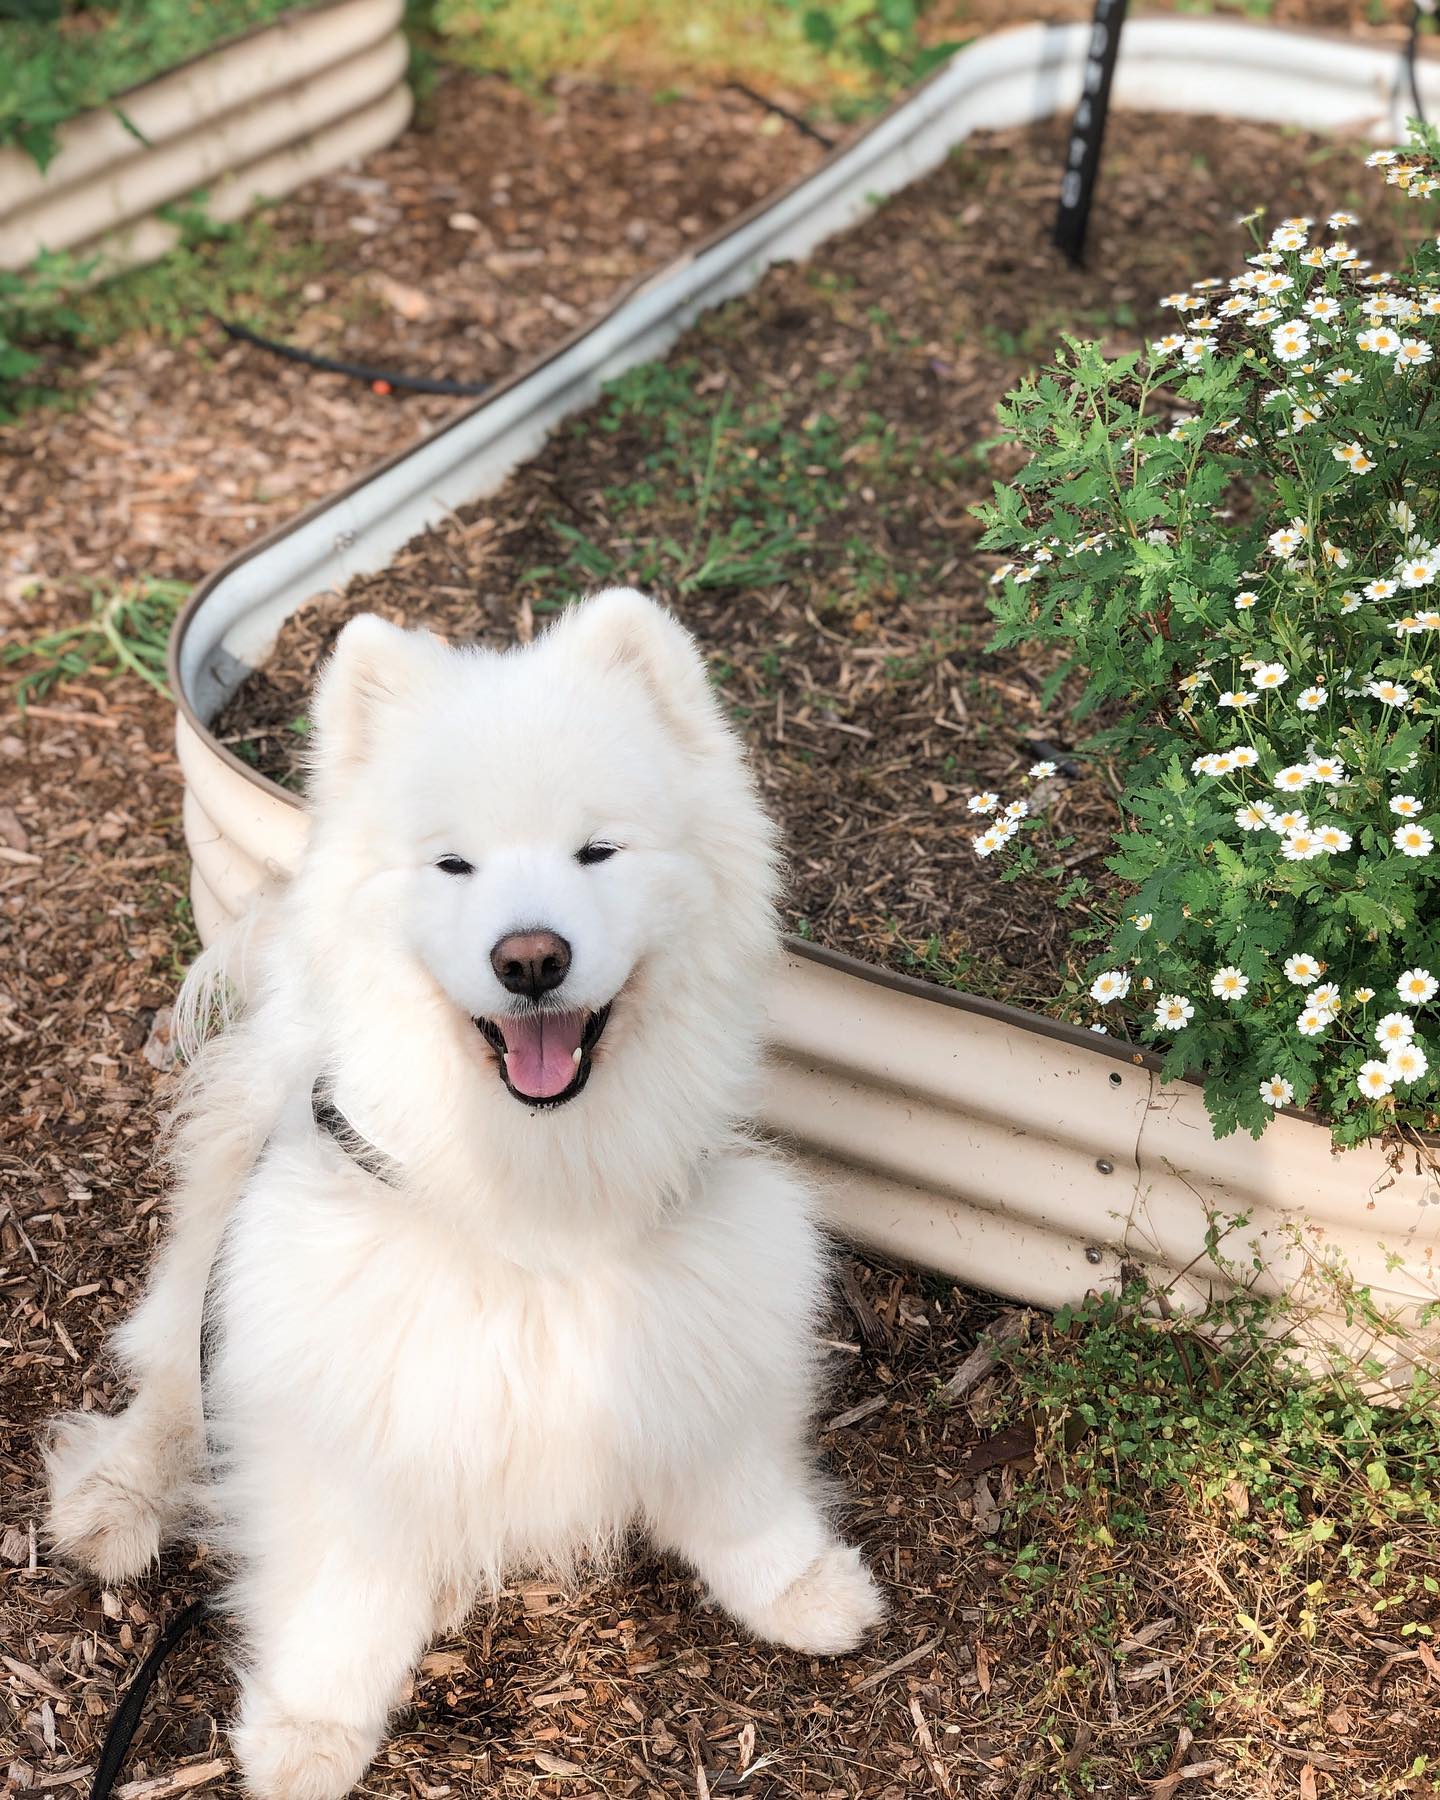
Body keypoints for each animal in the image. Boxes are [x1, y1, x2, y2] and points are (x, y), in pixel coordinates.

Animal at [45, 590, 882, 1800]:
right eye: (453, 866)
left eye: (597, 850)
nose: (531, 957)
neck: (533, 1197)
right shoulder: (351, 1402)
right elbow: (338, 1596)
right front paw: (307, 1732)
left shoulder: (704, 1307)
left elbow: (735, 1484)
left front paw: (799, 1586)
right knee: (168, 1373)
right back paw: (113, 1498)